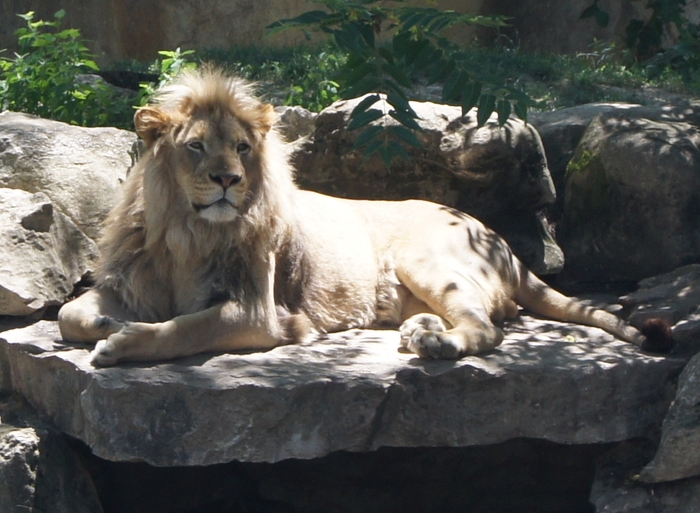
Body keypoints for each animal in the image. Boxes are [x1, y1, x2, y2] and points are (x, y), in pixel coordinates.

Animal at [58, 67, 672, 368]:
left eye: (241, 148)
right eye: (195, 148)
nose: (229, 180)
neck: (187, 234)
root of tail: (497, 237)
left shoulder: (257, 313)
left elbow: (185, 329)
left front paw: (122, 342)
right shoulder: (133, 281)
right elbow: (69, 314)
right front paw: (108, 324)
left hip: (423, 257)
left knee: (489, 330)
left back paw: (436, 345)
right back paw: (423, 330)